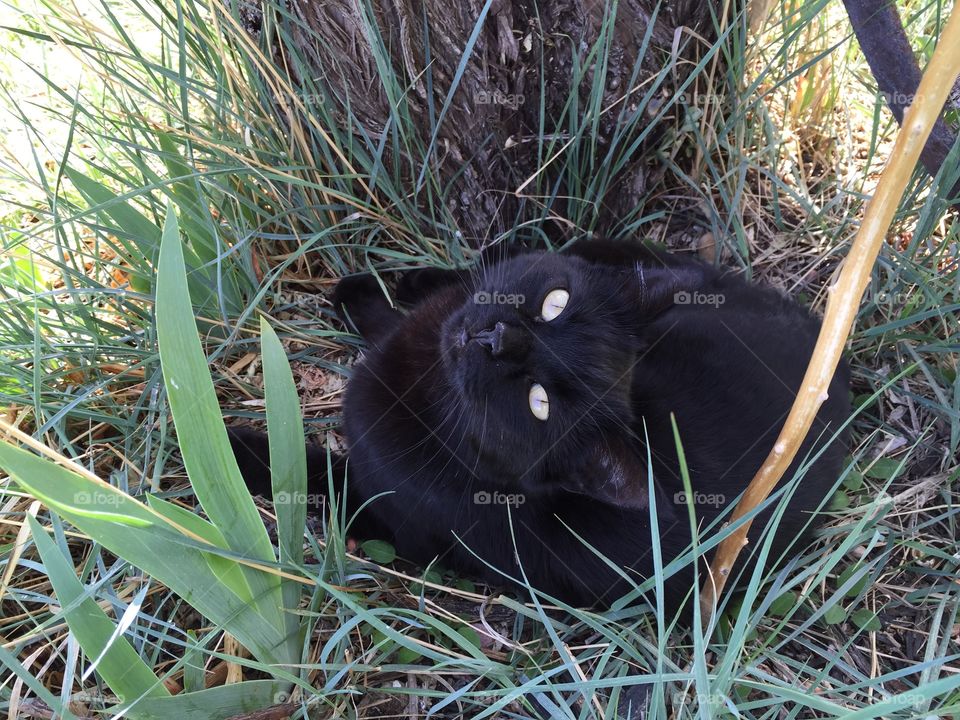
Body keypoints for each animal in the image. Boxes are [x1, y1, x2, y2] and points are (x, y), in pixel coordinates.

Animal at [231, 240, 848, 608]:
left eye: (539, 403)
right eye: (556, 303)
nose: (499, 339)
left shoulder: (388, 507)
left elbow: (310, 474)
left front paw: (238, 454)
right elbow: (395, 325)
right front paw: (369, 297)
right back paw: (408, 281)